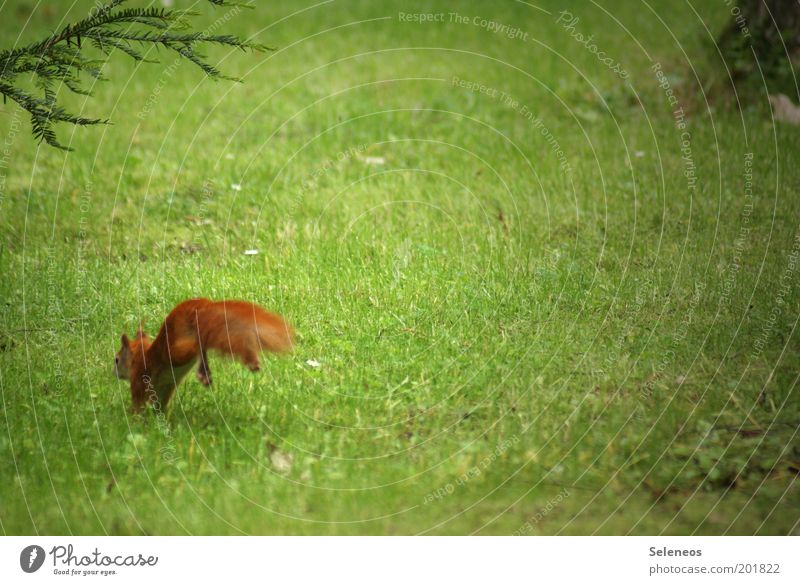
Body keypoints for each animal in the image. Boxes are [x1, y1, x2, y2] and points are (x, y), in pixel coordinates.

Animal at [115, 296, 294, 410]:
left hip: (174, 351)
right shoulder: (165, 386)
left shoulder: (139, 379)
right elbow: (160, 402)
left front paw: (135, 416)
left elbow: (138, 400)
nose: (114, 373)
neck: (141, 355)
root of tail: (201, 306)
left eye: (116, 360)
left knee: (195, 346)